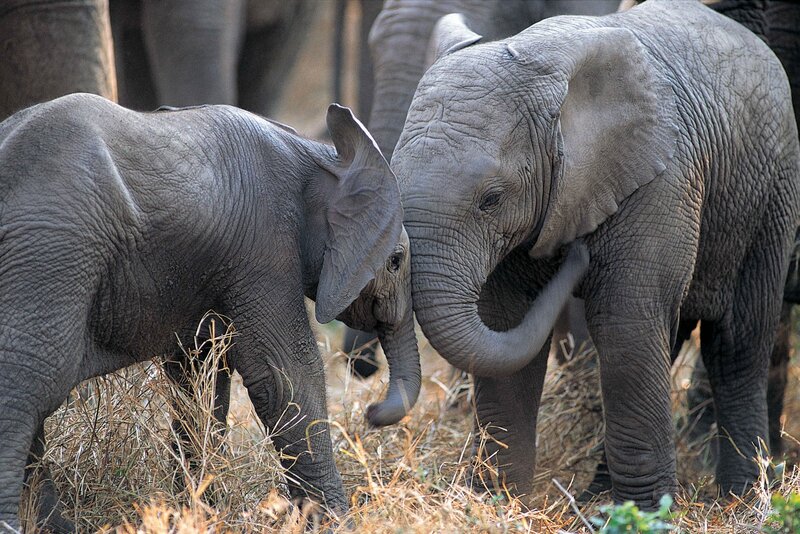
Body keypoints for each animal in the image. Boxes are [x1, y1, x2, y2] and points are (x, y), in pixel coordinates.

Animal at [0, 94, 420, 531]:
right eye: (395, 261)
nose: (371, 412)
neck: (320, 155)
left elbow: (199, 378)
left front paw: (196, 513)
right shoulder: (265, 251)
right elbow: (285, 375)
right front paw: (338, 523)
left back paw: (56, 526)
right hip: (52, 254)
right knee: (31, 381)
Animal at [391, 0, 800, 510]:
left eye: (492, 199)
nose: (575, 256)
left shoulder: (661, 182)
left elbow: (625, 327)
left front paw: (649, 513)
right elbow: (508, 326)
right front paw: (498, 503)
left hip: (772, 192)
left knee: (737, 343)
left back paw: (740, 499)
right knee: (668, 339)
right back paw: (597, 496)